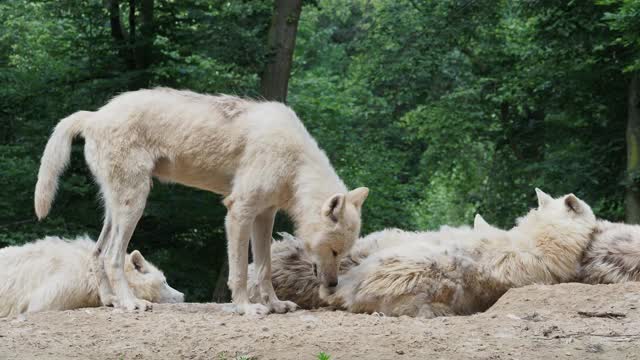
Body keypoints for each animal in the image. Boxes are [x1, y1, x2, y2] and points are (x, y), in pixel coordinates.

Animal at [32, 88, 368, 316]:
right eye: (334, 250)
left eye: (343, 254)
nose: (334, 285)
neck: (295, 165)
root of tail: (95, 115)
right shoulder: (238, 212)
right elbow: (240, 272)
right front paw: (246, 308)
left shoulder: (264, 216)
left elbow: (264, 268)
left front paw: (274, 304)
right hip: (135, 205)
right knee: (114, 256)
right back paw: (130, 303)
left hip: (116, 209)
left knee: (97, 253)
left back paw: (111, 301)